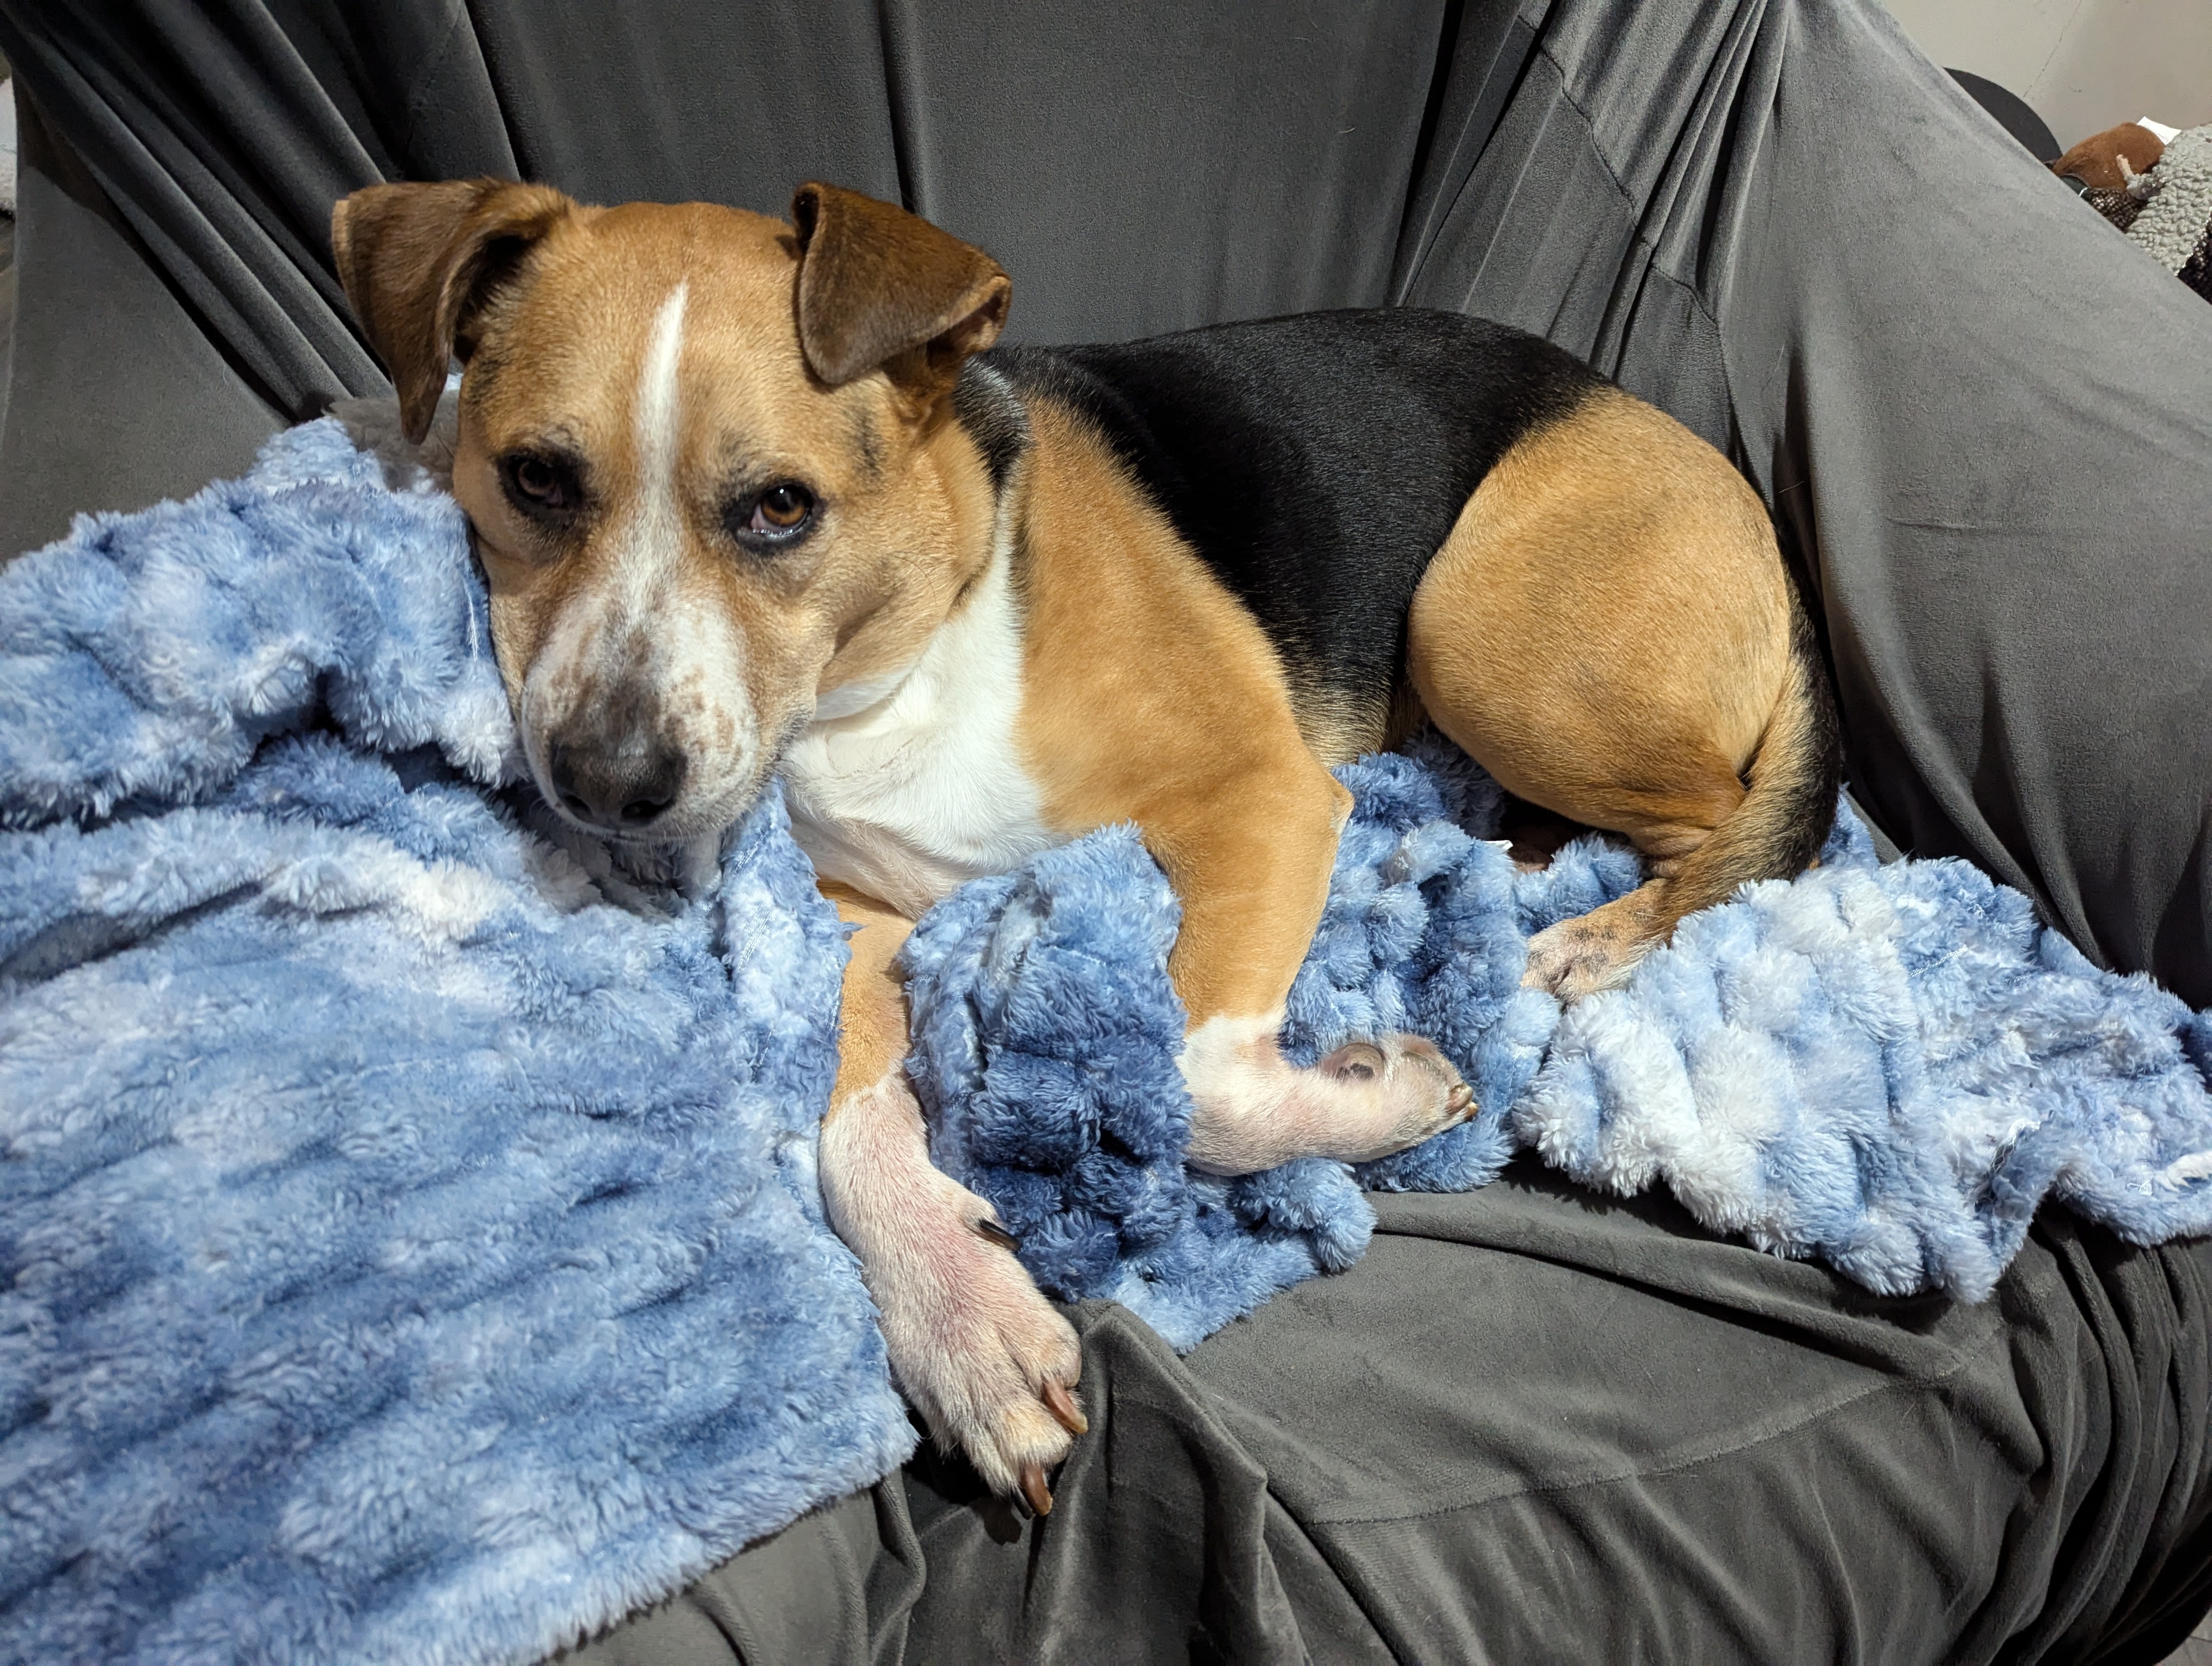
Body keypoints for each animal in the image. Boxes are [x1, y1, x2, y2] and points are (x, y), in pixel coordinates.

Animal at [336, 176, 1840, 1513]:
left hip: (1480, 635)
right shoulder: (843, 904)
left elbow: (1205, 1081)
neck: (902, 660)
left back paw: (1587, 933)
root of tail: (1713, 472)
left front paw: (1383, 1095)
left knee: (1742, 820)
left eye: (780, 506)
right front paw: (961, 1315)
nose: (607, 784)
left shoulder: (1262, 795)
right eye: (534, 478)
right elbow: (848, 1117)